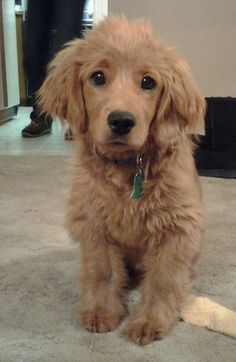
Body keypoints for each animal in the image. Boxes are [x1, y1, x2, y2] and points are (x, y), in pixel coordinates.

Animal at [38, 17, 205, 346]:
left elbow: (164, 279)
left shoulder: (177, 228)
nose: (122, 121)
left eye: (148, 82)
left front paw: (150, 321)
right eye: (98, 77)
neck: (129, 168)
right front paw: (101, 311)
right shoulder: (93, 223)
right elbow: (102, 272)